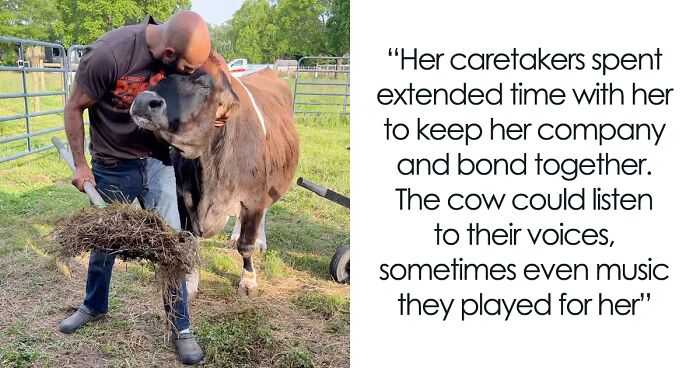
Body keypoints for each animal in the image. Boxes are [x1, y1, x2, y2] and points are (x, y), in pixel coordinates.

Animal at [130, 53, 300, 296]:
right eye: (162, 74)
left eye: (204, 84)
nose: (144, 101)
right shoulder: (182, 198)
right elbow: (189, 242)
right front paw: (190, 282)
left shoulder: (254, 200)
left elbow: (245, 246)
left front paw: (248, 279)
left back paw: (261, 241)